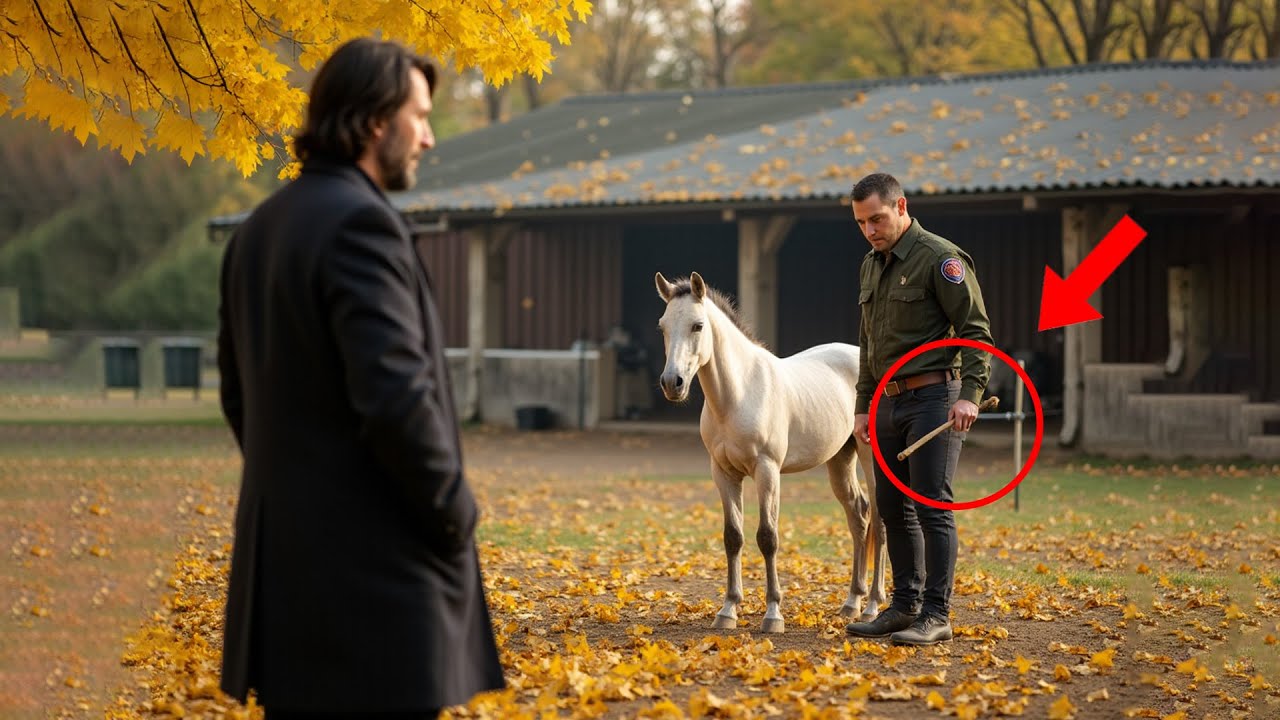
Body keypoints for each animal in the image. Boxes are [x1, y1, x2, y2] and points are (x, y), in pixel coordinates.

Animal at [655, 271, 887, 633]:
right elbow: (733, 537)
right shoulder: (723, 473)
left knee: (879, 520)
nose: (672, 383)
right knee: (858, 515)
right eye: (663, 326)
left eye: (697, 325)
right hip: (840, 459)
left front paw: (773, 614)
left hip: (869, 456)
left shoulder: (767, 471)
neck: (739, 394)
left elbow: (767, 537)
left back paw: (872, 606)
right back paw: (852, 602)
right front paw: (728, 610)